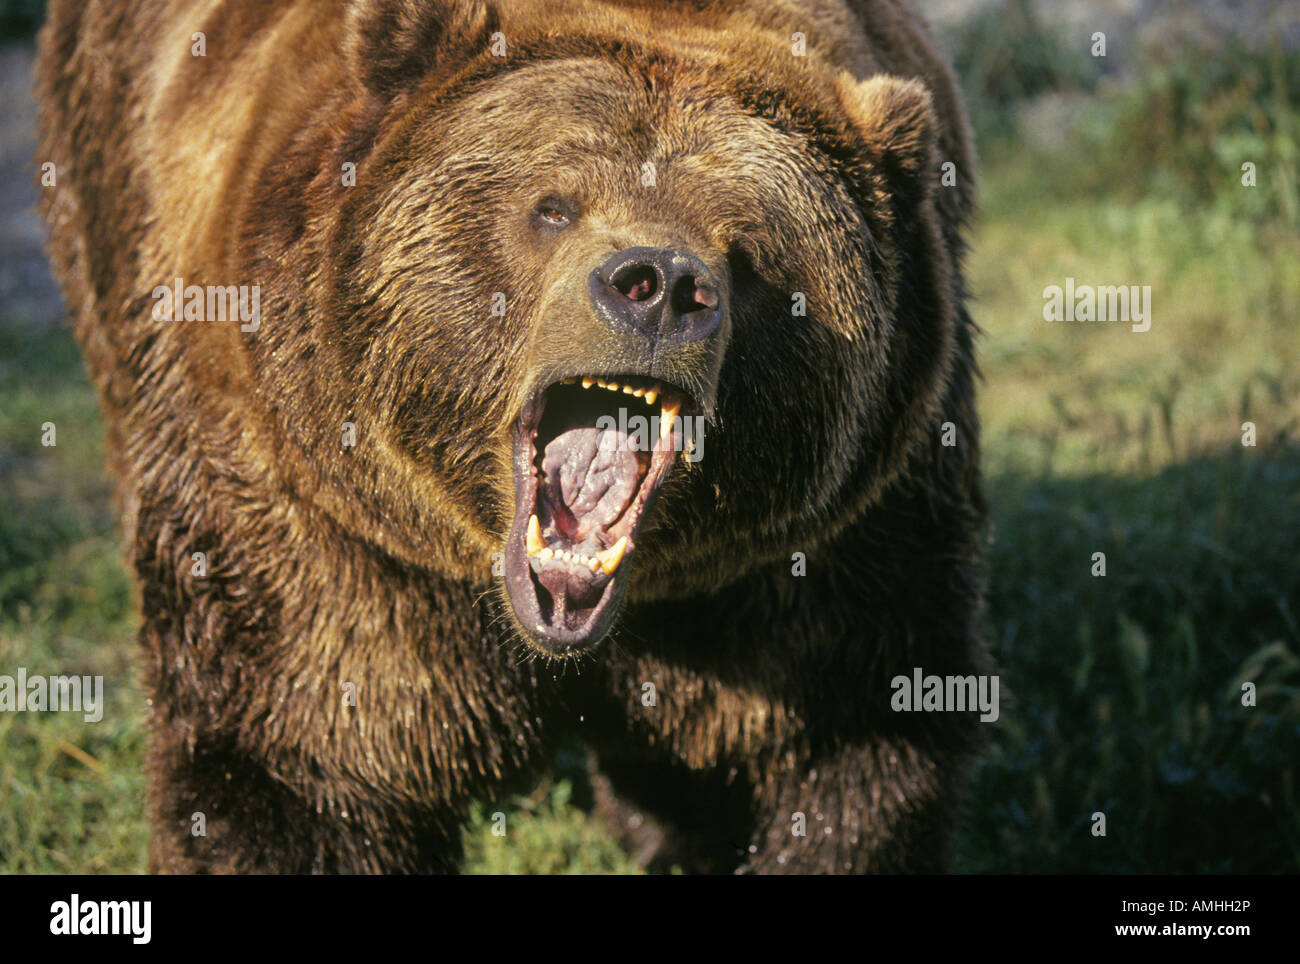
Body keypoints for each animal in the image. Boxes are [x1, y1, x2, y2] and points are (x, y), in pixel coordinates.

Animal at [36, 0, 989, 874]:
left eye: (750, 249)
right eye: (554, 207)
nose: (660, 285)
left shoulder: (830, 544)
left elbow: (849, 752)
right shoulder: (326, 528)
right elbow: (298, 769)